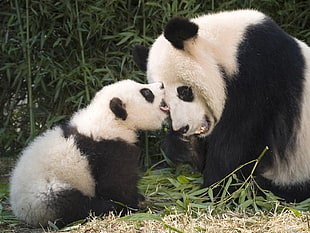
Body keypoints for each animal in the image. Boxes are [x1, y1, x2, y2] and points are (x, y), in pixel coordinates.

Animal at [9, 79, 170, 227]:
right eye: (146, 93)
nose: (162, 84)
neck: (110, 120)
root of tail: (20, 212)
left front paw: (139, 198)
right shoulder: (108, 151)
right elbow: (114, 184)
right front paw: (132, 204)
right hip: (44, 194)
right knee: (72, 204)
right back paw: (108, 208)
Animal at [133, 9, 310, 202]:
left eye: (184, 91)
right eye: (165, 104)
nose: (183, 128)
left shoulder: (259, 82)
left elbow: (234, 146)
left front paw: (214, 190)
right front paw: (183, 146)